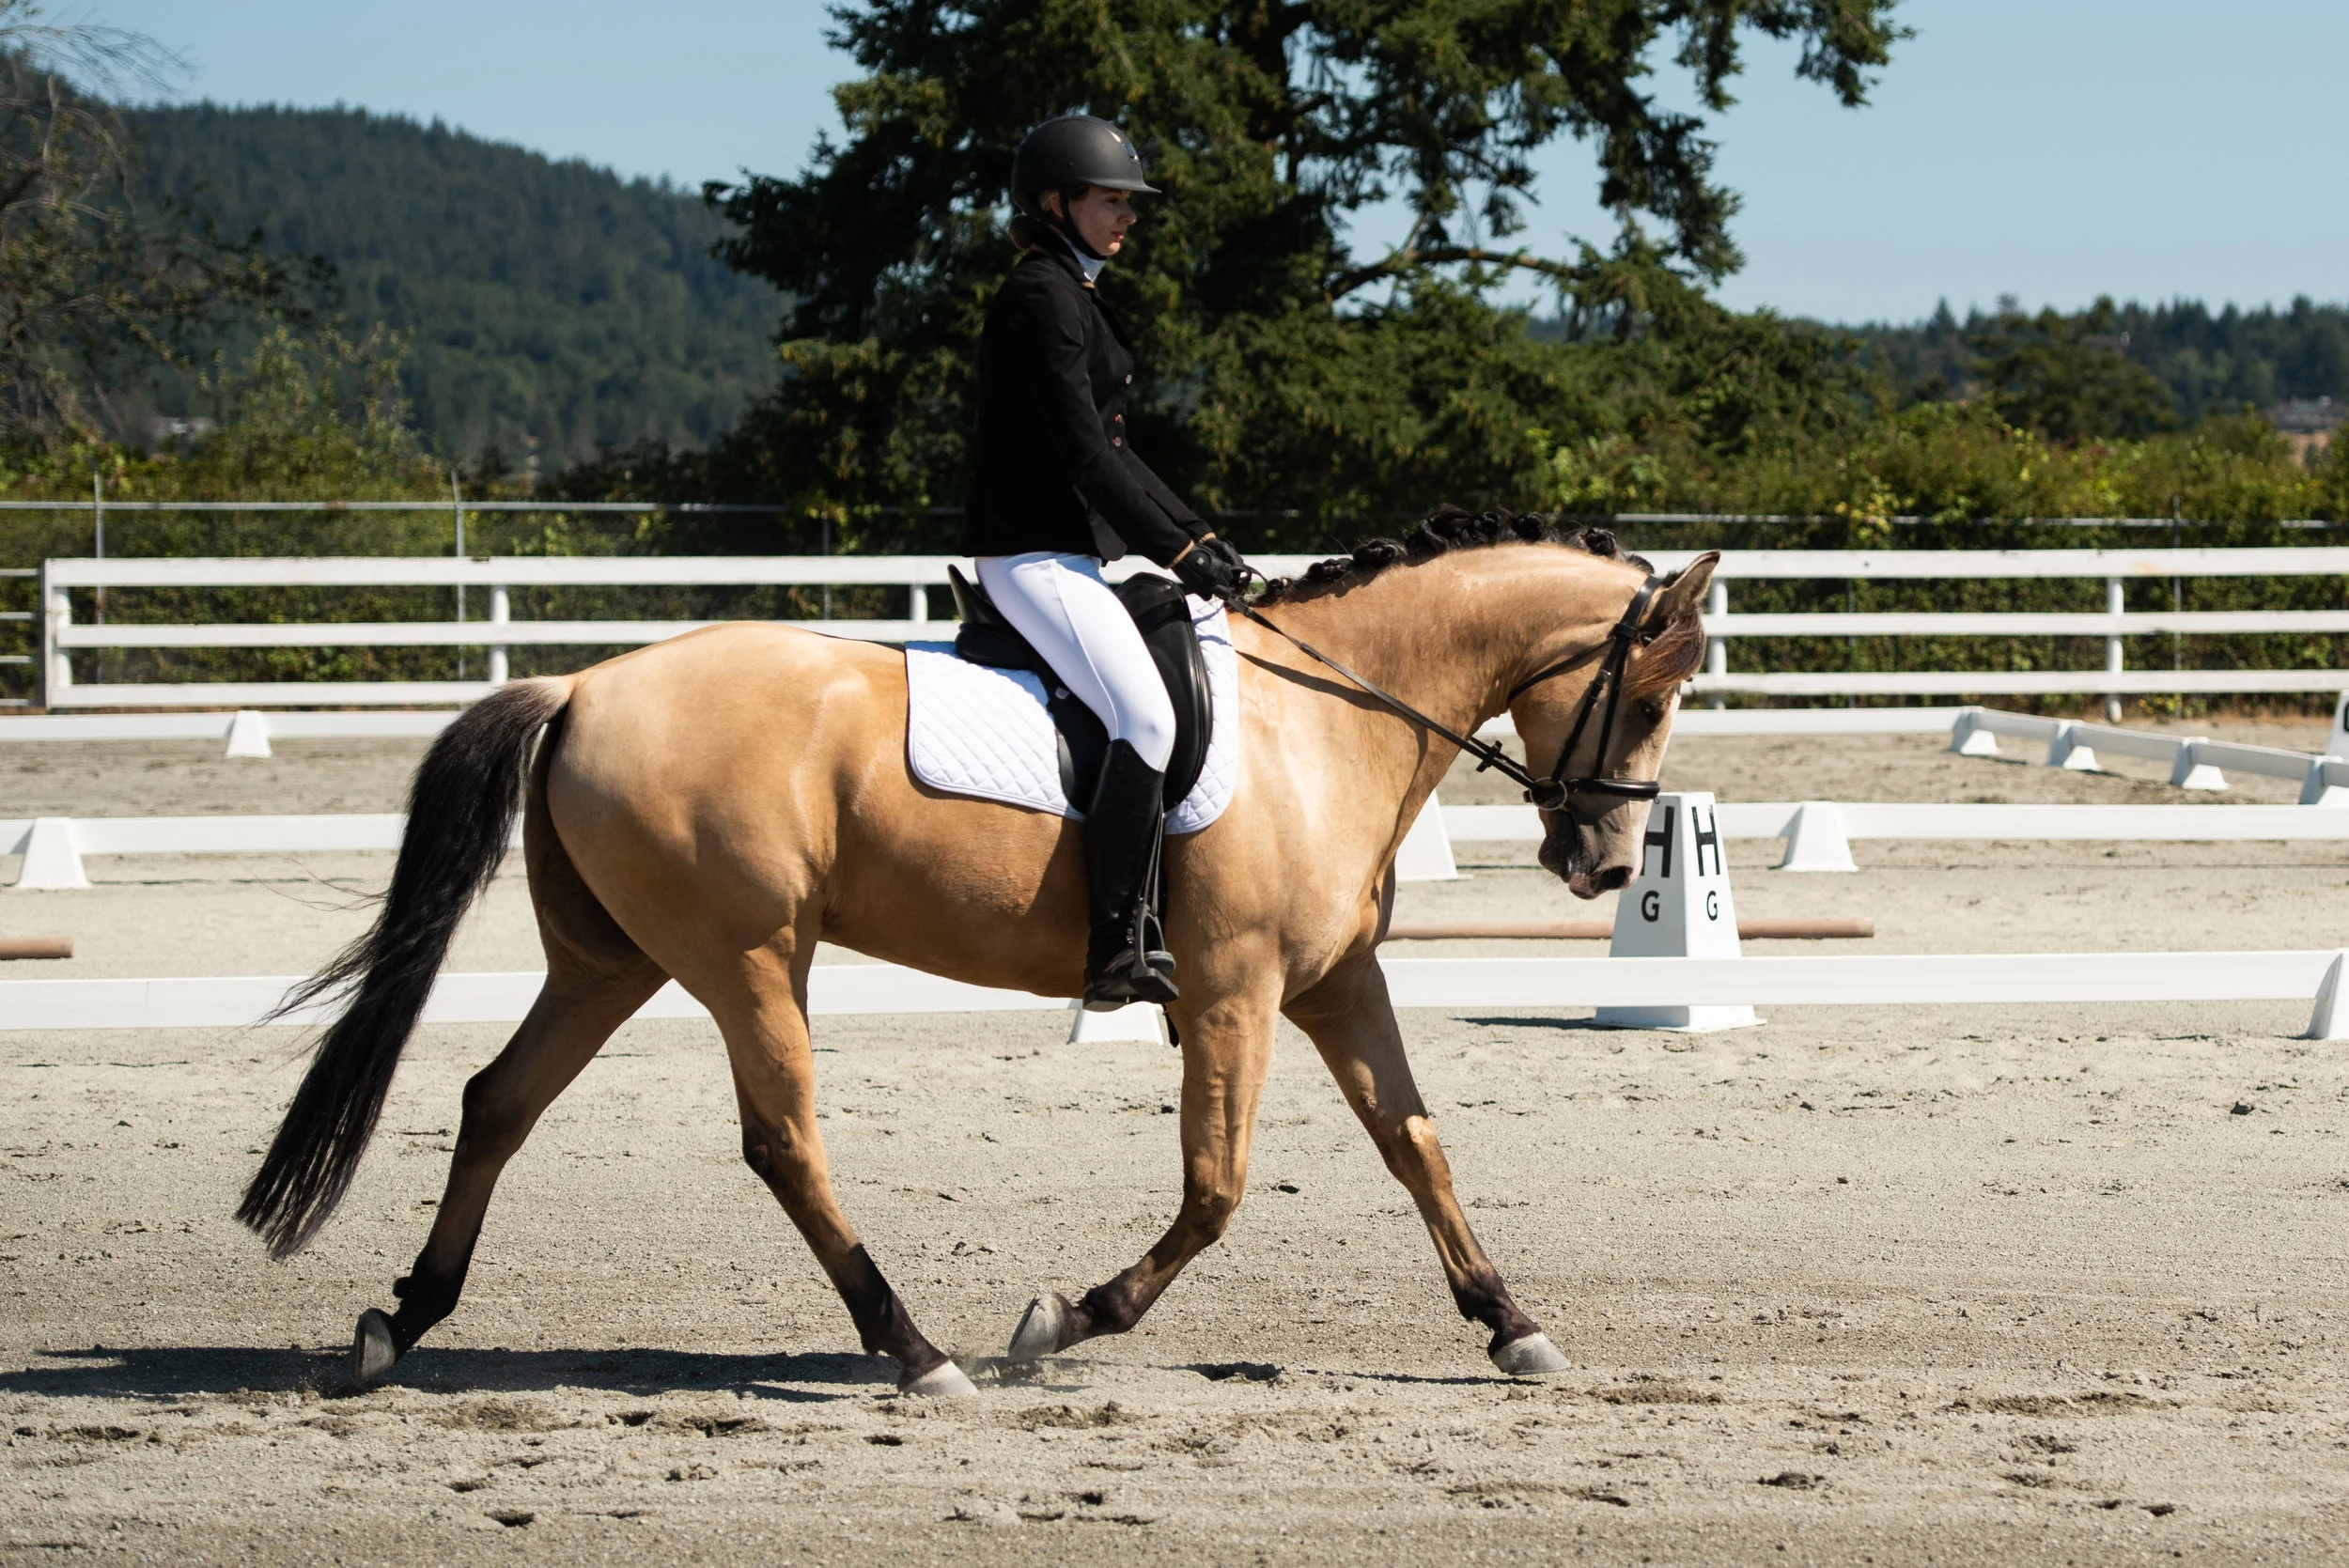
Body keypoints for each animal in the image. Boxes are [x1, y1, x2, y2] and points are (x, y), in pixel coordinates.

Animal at [237, 509, 1719, 1397]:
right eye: (1649, 695)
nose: (1601, 865)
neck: (1329, 719)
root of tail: (583, 684)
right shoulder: (1235, 992)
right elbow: (1218, 1188)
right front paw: (1063, 1319)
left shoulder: (1335, 985)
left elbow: (1415, 1143)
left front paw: (1512, 1323)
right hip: (750, 957)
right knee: (782, 1141)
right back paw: (914, 1349)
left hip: (612, 960)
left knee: (499, 1100)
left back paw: (401, 1322)